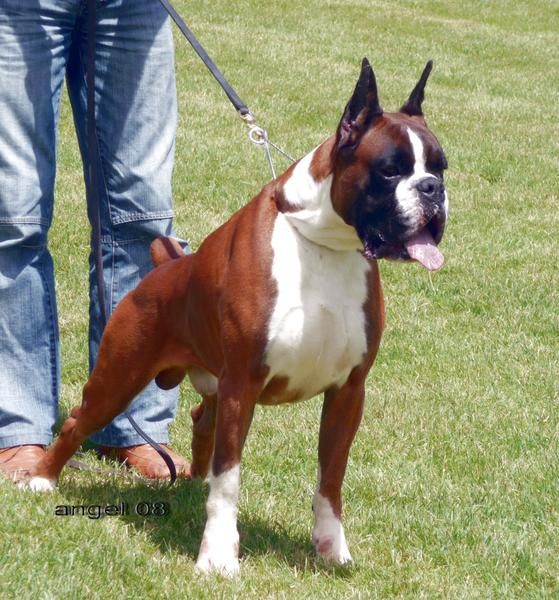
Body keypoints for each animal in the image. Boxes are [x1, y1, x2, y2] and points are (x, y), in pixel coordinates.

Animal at [27, 59, 450, 576]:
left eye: (440, 168)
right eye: (390, 171)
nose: (433, 190)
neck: (326, 244)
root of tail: (165, 267)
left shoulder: (348, 392)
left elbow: (331, 479)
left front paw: (332, 549)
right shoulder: (243, 384)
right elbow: (229, 478)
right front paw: (218, 557)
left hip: (205, 382)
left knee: (199, 419)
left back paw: (192, 481)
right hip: (119, 377)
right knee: (78, 423)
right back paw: (41, 478)